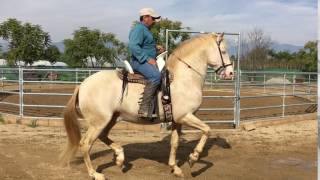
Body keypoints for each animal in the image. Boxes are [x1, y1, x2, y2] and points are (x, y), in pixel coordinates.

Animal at [60, 32, 234, 179]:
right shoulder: (185, 116)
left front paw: (175, 168)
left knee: (102, 136)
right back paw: (95, 174)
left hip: (111, 119)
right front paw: (193, 158)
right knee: (85, 144)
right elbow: (207, 130)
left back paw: (120, 158)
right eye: (224, 51)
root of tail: (82, 85)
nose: (231, 73)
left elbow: (175, 143)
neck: (184, 78)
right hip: (99, 122)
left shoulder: (177, 120)